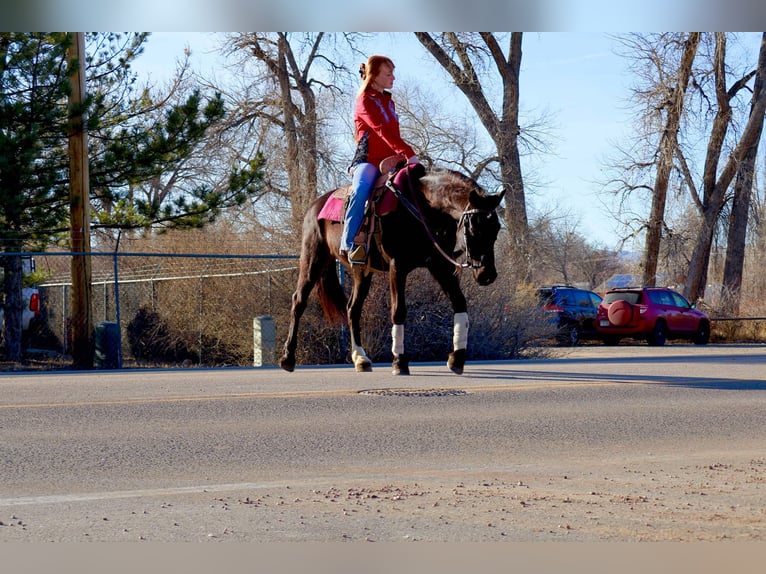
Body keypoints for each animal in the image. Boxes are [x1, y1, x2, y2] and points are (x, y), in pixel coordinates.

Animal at [280, 164, 508, 376]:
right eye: (474, 228)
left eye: (496, 228)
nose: (487, 274)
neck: (423, 208)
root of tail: (315, 205)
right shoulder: (397, 266)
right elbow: (398, 311)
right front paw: (400, 361)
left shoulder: (439, 265)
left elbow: (459, 302)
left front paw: (457, 358)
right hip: (313, 259)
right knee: (299, 301)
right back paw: (288, 358)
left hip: (361, 271)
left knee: (352, 309)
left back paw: (360, 359)